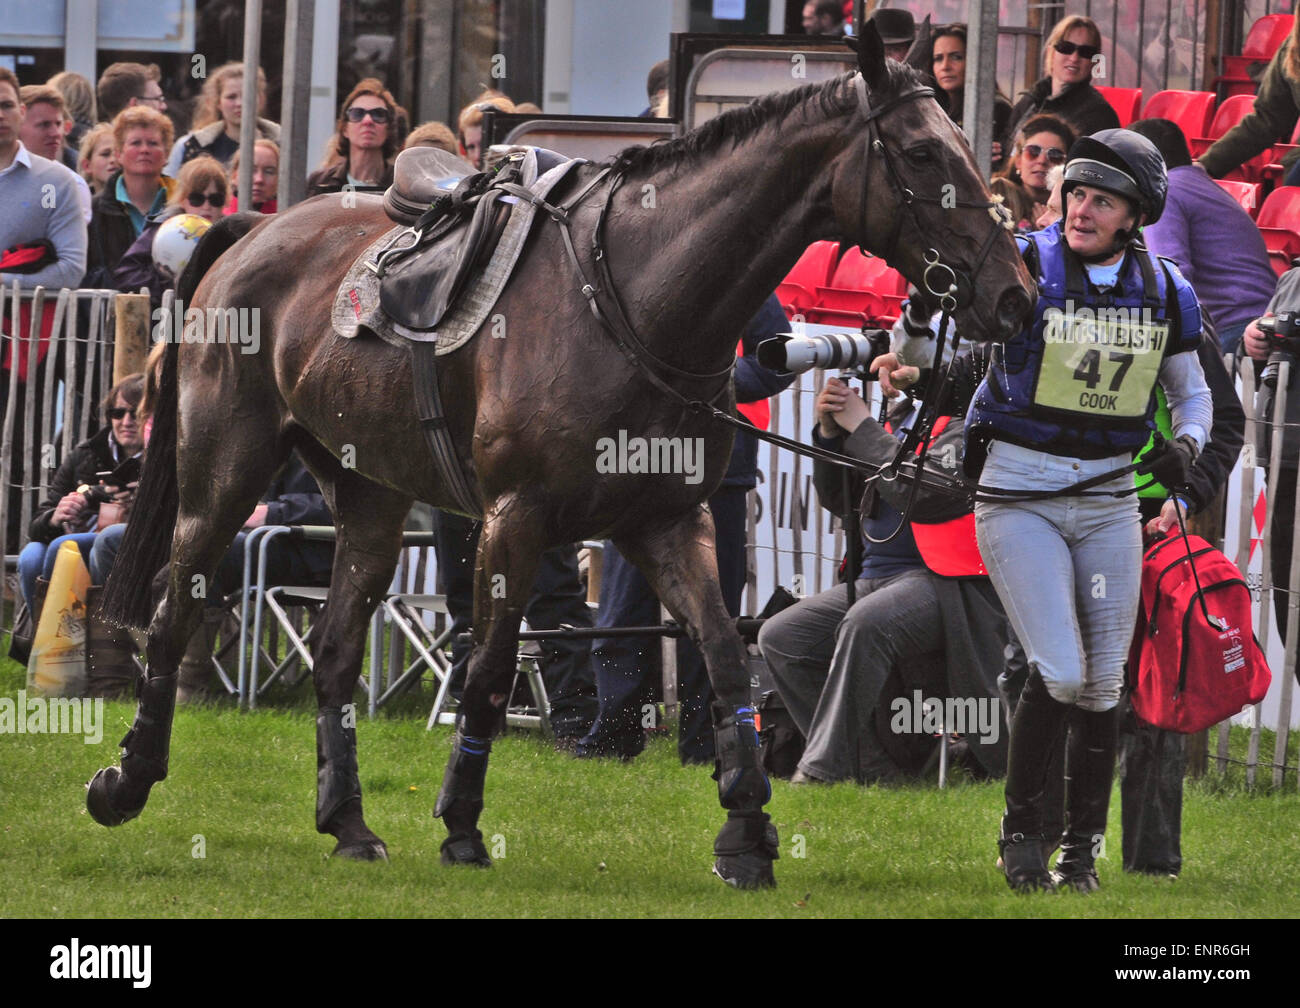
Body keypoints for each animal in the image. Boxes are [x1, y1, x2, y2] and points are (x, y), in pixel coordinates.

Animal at [86, 27, 1029, 889]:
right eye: (920, 152)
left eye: (967, 146)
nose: (1015, 296)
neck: (637, 302)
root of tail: (253, 229)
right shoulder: (517, 520)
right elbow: (491, 670)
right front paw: (462, 824)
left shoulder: (669, 521)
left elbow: (725, 657)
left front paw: (746, 832)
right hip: (223, 476)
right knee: (172, 618)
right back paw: (127, 781)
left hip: (369, 498)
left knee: (336, 650)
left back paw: (348, 821)